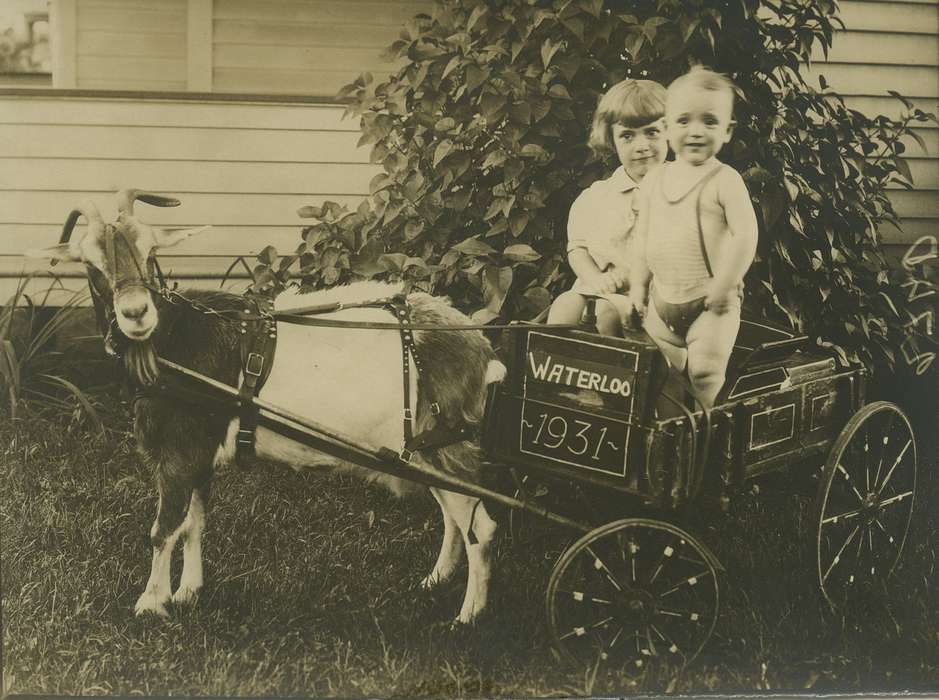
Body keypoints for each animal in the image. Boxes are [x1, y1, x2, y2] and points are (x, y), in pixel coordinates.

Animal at [27, 190, 506, 624]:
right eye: (92, 264)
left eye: (150, 252)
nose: (135, 313)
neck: (176, 339)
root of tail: (481, 348)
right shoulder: (200, 450)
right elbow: (193, 523)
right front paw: (187, 592)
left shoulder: (180, 450)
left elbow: (164, 529)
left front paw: (150, 604)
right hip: (424, 450)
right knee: (453, 516)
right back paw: (436, 579)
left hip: (446, 445)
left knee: (480, 528)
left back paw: (468, 616)